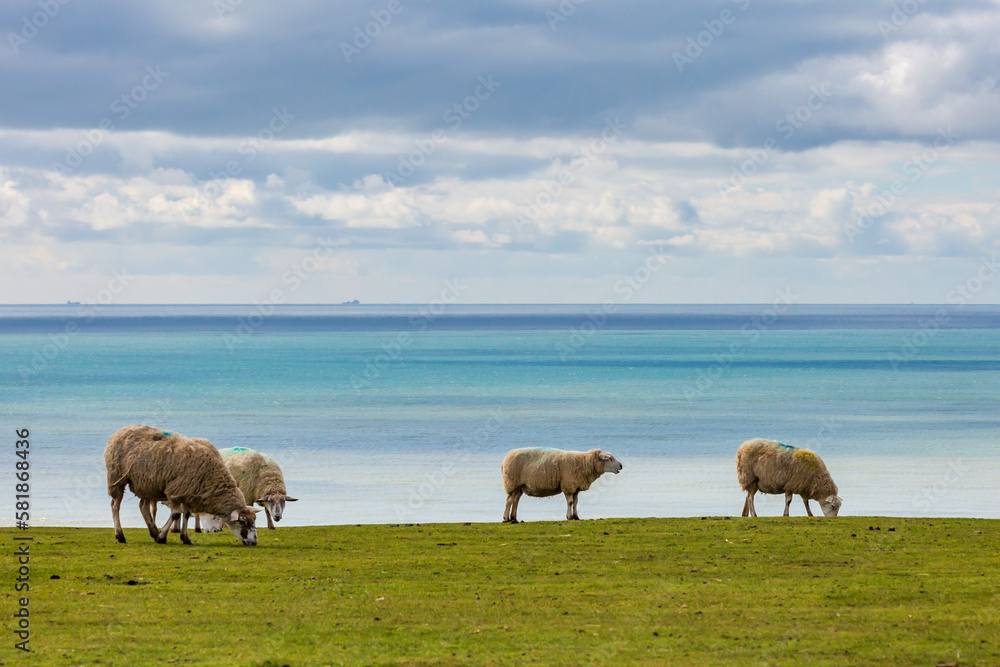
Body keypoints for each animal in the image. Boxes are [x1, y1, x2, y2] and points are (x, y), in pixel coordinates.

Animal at [104, 428, 262, 548]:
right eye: (243, 521)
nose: (254, 542)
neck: (211, 477)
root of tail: (121, 430)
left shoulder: (188, 492)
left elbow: (185, 514)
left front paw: (185, 538)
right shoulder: (175, 491)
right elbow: (176, 514)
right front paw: (162, 537)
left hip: (147, 484)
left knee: (143, 507)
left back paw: (153, 532)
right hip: (117, 477)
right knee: (115, 505)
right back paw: (120, 535)